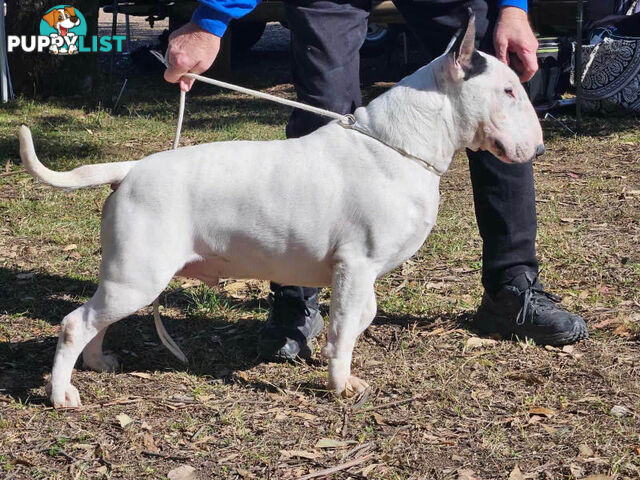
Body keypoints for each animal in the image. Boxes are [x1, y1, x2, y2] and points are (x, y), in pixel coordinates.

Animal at [18, 13, 544, 406]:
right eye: (509, 91)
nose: (538, 149)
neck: (400, 143)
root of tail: (130, 169)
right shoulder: (356, 264)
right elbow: (348, 326)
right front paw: (339, 384)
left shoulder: (359, 272)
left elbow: (361, 315)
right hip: (138, 275)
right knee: (75, 323)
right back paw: (62, 394)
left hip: (128, 276)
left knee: (97, 321)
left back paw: (97, 363)